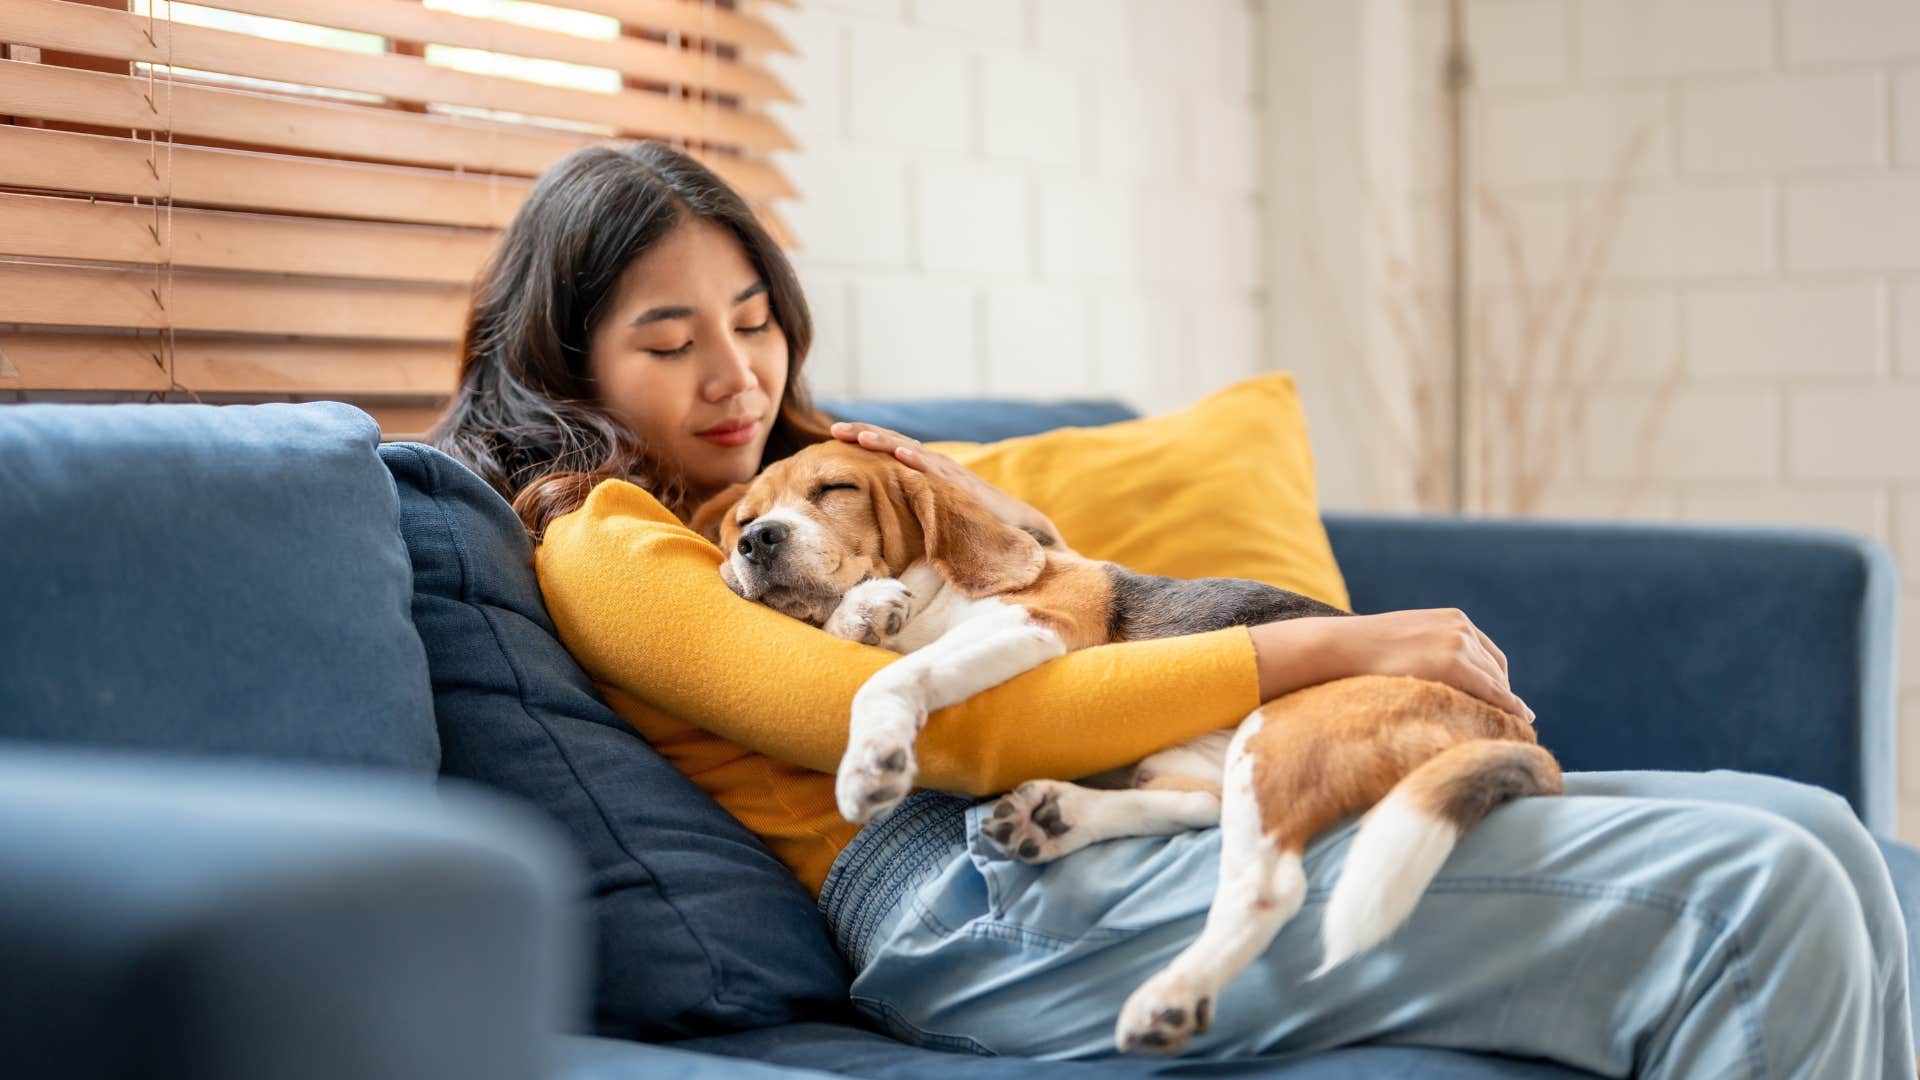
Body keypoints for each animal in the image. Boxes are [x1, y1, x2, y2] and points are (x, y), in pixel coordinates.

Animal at [695, 438, 1559, 1053]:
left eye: (835, 490)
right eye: (742, 520)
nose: (757, 543)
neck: (939, 591)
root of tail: (1516, 726)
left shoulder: (1037, 627)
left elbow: (890, 678)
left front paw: (872, 755)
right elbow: (875, 643)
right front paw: (863, 612)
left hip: (1283, 731)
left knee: (1267, 883)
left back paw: (1170, 994)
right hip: (1206, 754)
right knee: (1199, 809)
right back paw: (1057, 818)